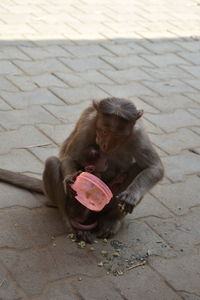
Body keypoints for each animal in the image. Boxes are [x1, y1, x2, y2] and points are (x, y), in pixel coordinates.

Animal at [0, 98, 164, 244]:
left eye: (117, 133)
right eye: (104, 130)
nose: (105, 144)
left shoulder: (138, 134)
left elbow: (154, 168)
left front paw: (131, 195)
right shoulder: (89, 125)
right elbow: (69, 157)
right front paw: (70, 180)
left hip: (105, 206)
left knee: (138, 168)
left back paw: (112, 220)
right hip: (72, 205)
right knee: (53, 163)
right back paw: (71, 222)